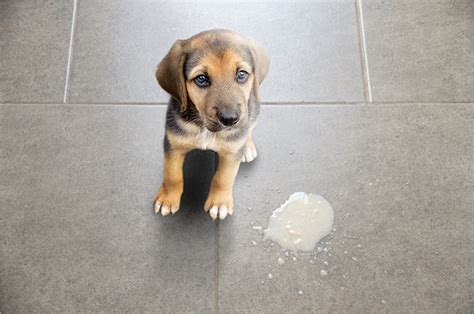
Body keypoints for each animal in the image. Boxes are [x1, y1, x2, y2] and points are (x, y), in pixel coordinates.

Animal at [154, 29, 268, 221]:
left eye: (242, 74)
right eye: (201, 79)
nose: (230, 119)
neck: (204, 128)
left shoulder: (231, 153)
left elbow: (223, 178)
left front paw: (219, 203)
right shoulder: (173, 144)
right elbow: (172, 175)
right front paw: (168, 199)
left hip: (254, 110)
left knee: (249, 128)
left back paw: (248, 147)